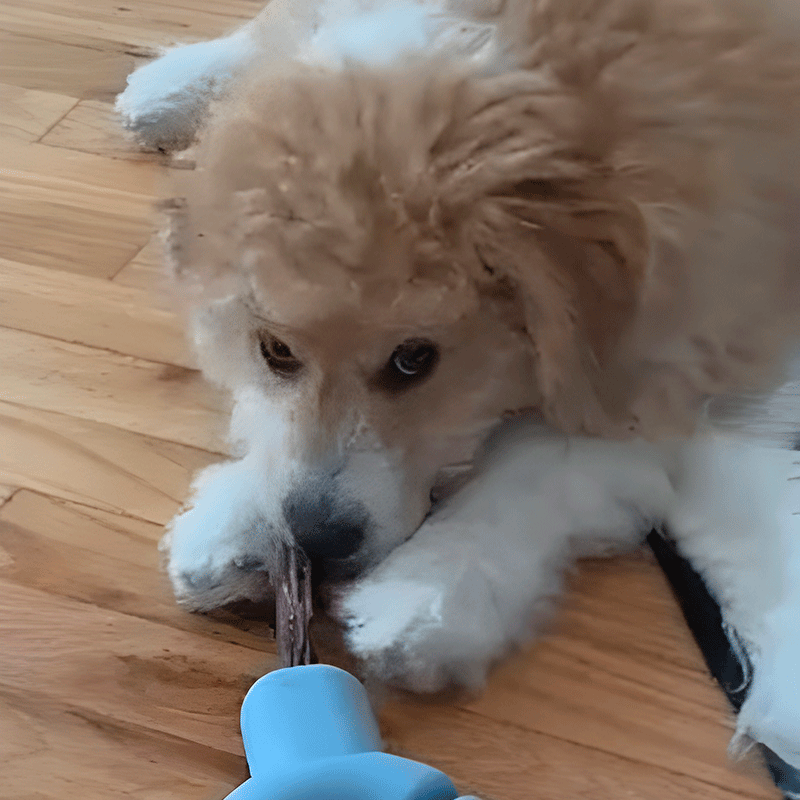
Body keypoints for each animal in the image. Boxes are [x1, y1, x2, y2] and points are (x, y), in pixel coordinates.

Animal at [117, 0, 800, 768]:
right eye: (276, 351)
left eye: (415, 359)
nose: (317, 540)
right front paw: (240, 516)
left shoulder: (680, 346)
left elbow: (546, 458)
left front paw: (431, 591)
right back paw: (175, 86)